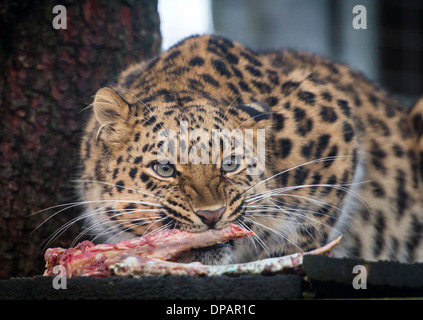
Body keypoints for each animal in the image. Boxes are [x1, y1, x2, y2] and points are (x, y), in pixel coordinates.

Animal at [76, 35, 423, 264]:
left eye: (230, 164)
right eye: (164, 169)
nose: (212, 216)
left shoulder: (334, 121)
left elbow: (315, 216)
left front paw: (283, 253)